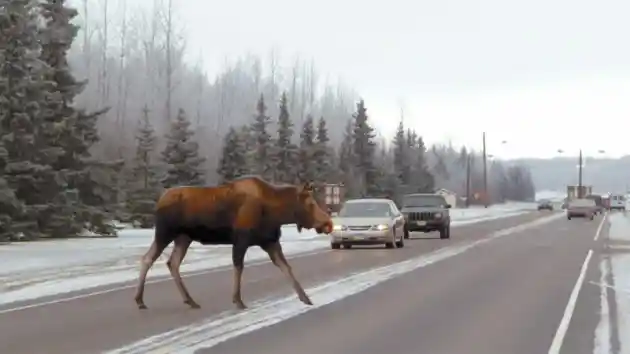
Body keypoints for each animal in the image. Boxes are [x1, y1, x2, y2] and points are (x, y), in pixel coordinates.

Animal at [131, 176, 334, 310]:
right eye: (311, 204)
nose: (328, 223)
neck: (277, 213)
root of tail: (159, 200)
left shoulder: (270, 242)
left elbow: (287, 268)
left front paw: (305, 297)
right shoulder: (241, 240)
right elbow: (238, 267)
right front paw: (238, 300)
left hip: (184, 237)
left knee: (172, 263)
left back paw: (190, 300)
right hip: (165, 232)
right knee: (148, 258)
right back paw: (140, 300)